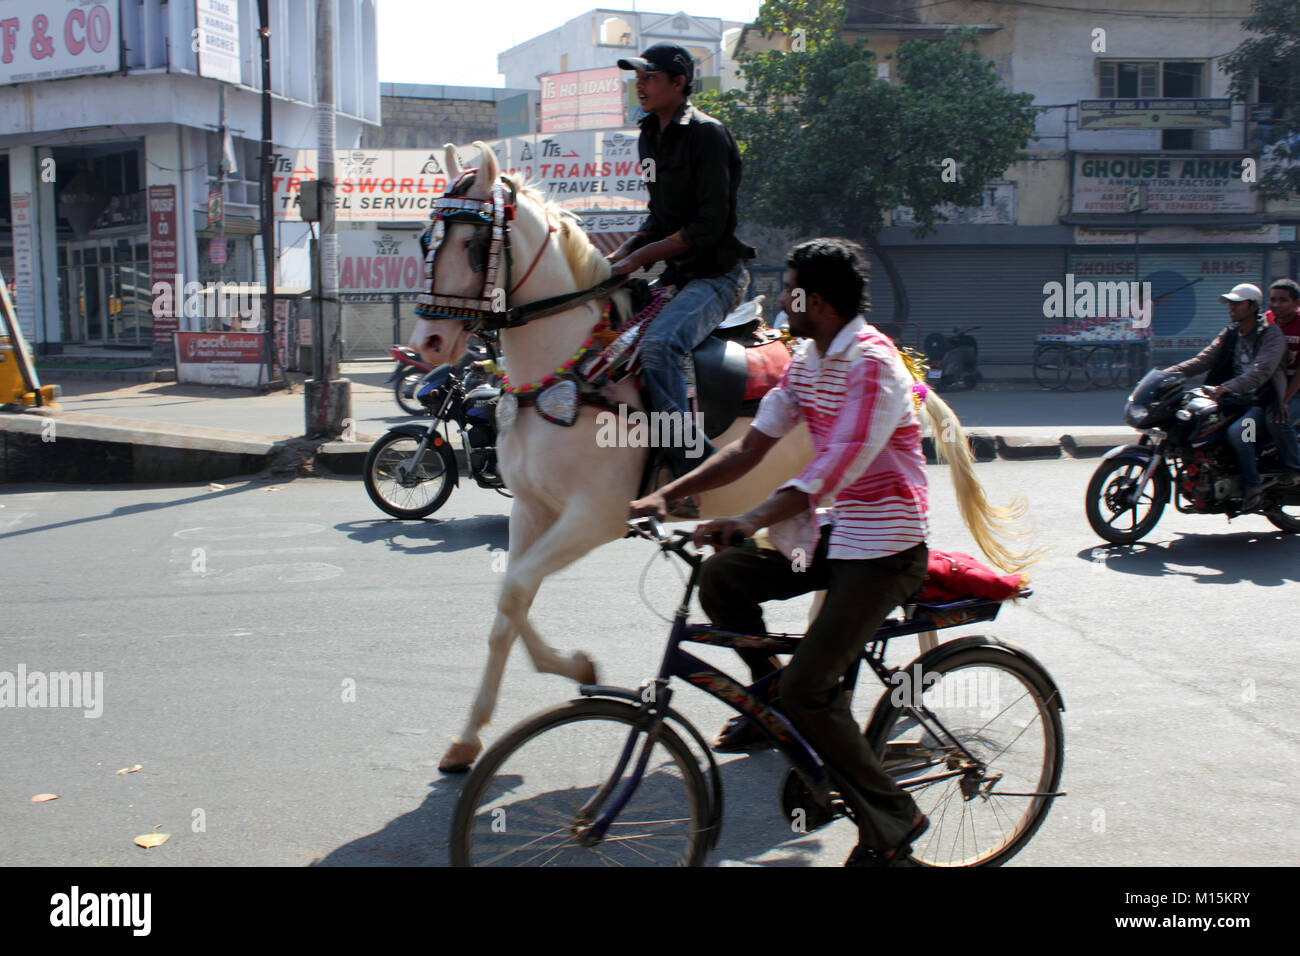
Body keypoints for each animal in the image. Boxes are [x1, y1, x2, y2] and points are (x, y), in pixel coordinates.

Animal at [410, 140, 1029, 770]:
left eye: (472, 243)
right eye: (424, 241)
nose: (428, 345)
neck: (572, 370)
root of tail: (908, 365)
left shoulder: (597, 516)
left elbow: (515, 590)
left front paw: (569, 668)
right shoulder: (531, 509)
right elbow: (510, 602)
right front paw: (476, 732)